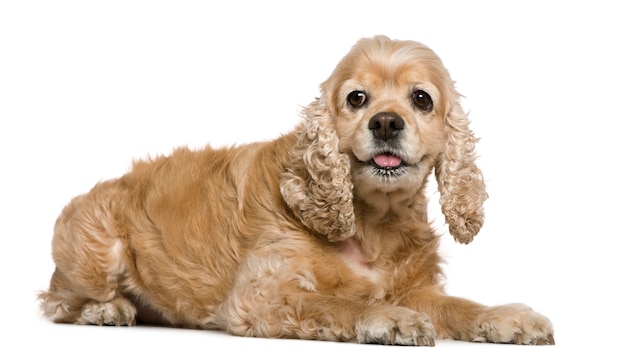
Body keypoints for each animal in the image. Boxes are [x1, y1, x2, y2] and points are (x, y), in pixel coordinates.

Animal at [37, 36, 552, 346]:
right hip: (94, 250)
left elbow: (460, 306)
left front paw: (509, 318)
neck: (373, 223)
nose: (386, 122)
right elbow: (341, 302)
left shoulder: (419, 288)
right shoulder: (262, 296)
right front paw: (391, 318)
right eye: (356, 98)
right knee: (57, 299)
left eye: (421, 98)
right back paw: (106, 310)